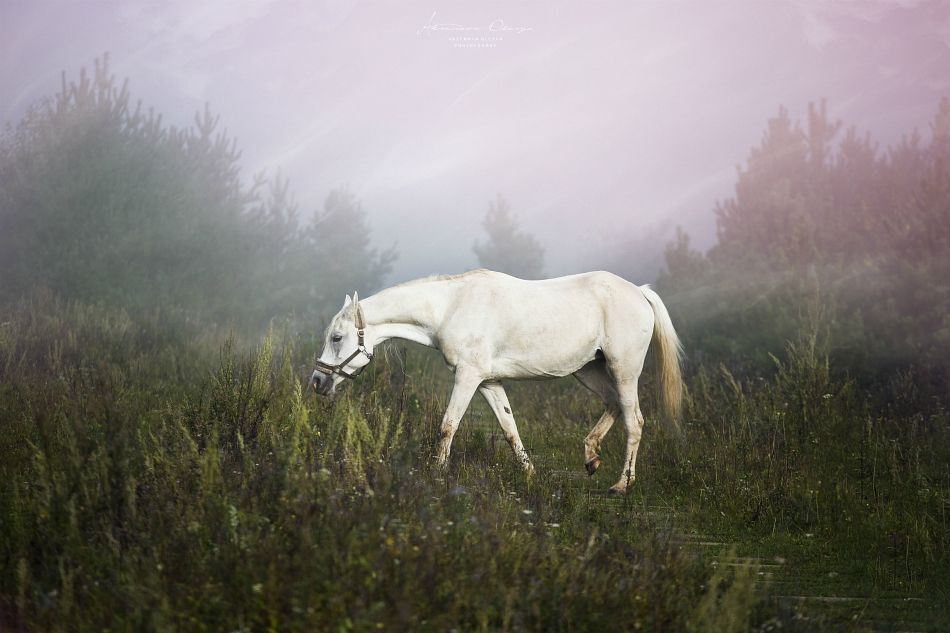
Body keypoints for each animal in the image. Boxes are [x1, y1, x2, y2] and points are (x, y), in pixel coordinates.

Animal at [311, 269, 683, 494]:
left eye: (337, 338)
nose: (317, 381)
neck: (451, 307)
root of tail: (640, 292)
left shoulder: (468, 377)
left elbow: (448, 425)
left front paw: (436, 474)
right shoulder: (489, 382)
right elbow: (509, 428)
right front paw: (530, 474)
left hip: (624, 370)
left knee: (635, 421)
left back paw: (622, 484)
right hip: (589, 369)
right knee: (613, 405)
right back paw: (591, 456)